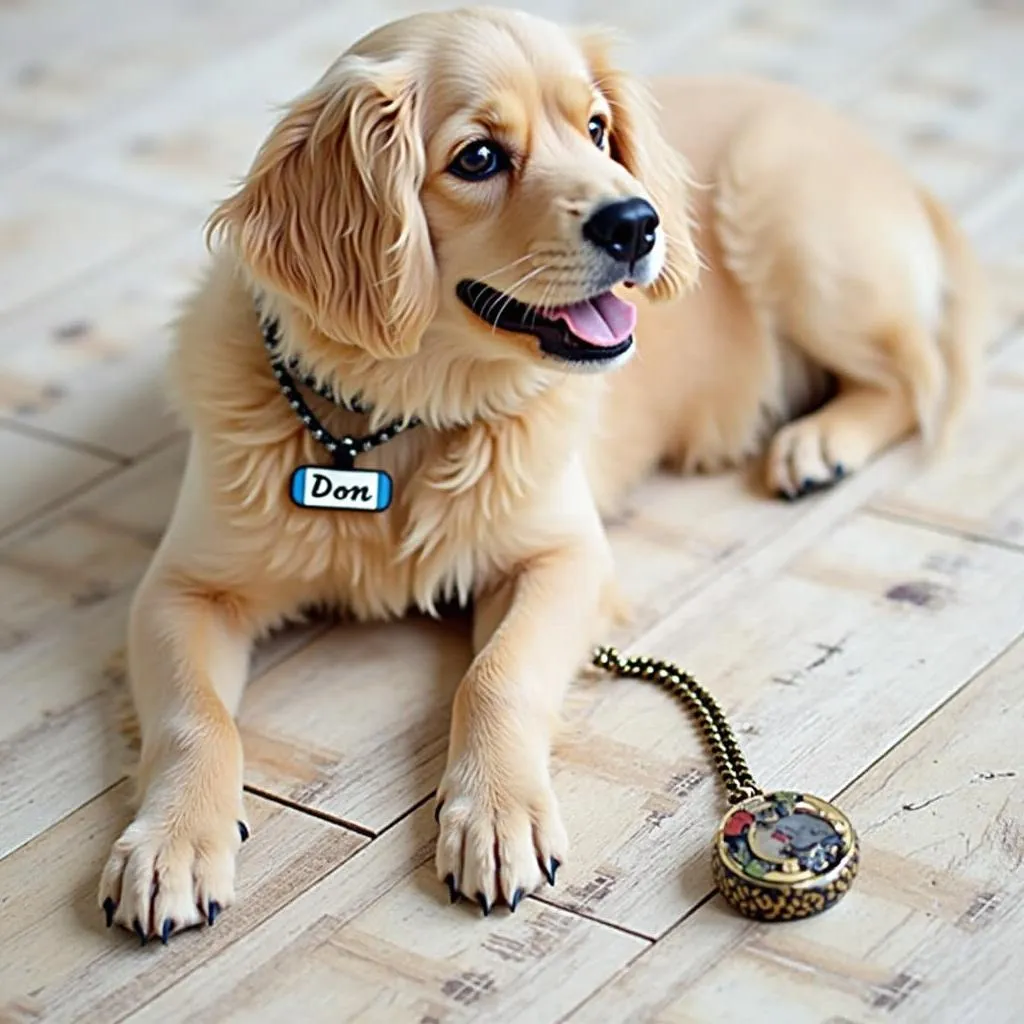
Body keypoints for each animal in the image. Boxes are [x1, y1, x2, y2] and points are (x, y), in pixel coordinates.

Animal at [96, 4, 983, 937]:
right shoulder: (182, 589)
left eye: (595, 129)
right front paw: (171, 840)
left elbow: (498, 676)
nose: (638, 223)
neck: (396, 421)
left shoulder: (565, 557)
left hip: (785, 215)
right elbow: (196, 717)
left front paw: (496, 815)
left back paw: (819, 443)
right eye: (478, 157)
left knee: (913, 374)